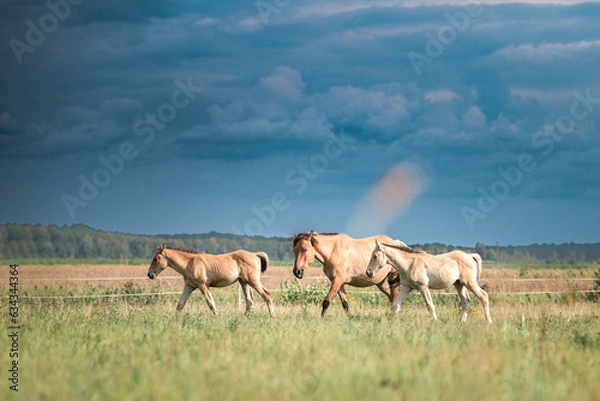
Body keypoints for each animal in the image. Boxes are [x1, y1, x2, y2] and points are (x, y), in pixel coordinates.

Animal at [148, 242, 276, 318]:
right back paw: (245, 318)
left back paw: (273, 317)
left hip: (252, 281)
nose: (150, 275)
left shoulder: (203, 285)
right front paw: (174, 320)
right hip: (243, 282)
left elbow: (211, 304)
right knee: (249, 300)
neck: (190, 263)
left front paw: (218, 318)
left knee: (267, 294)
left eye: (156, 258)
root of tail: (254, 254)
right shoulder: (189, 286)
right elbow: (180, 304)